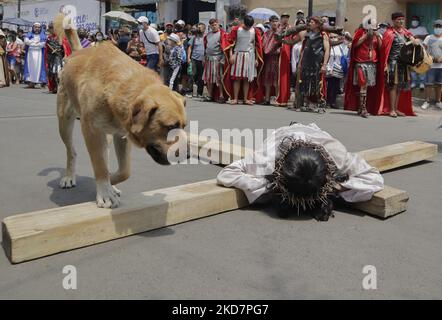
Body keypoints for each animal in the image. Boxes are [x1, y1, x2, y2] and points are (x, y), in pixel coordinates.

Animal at [56, 17, 187, 209]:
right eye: (171, 127)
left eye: (184, 126)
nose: (188, 154)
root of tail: (78, 52)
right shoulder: (92, 131)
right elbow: (100, 165)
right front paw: (105, 192)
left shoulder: (121, 136)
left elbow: (125, 171)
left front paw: (111, 184)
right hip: (64, 122)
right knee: (71, 151)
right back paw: (69, 176)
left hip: (106, 137)